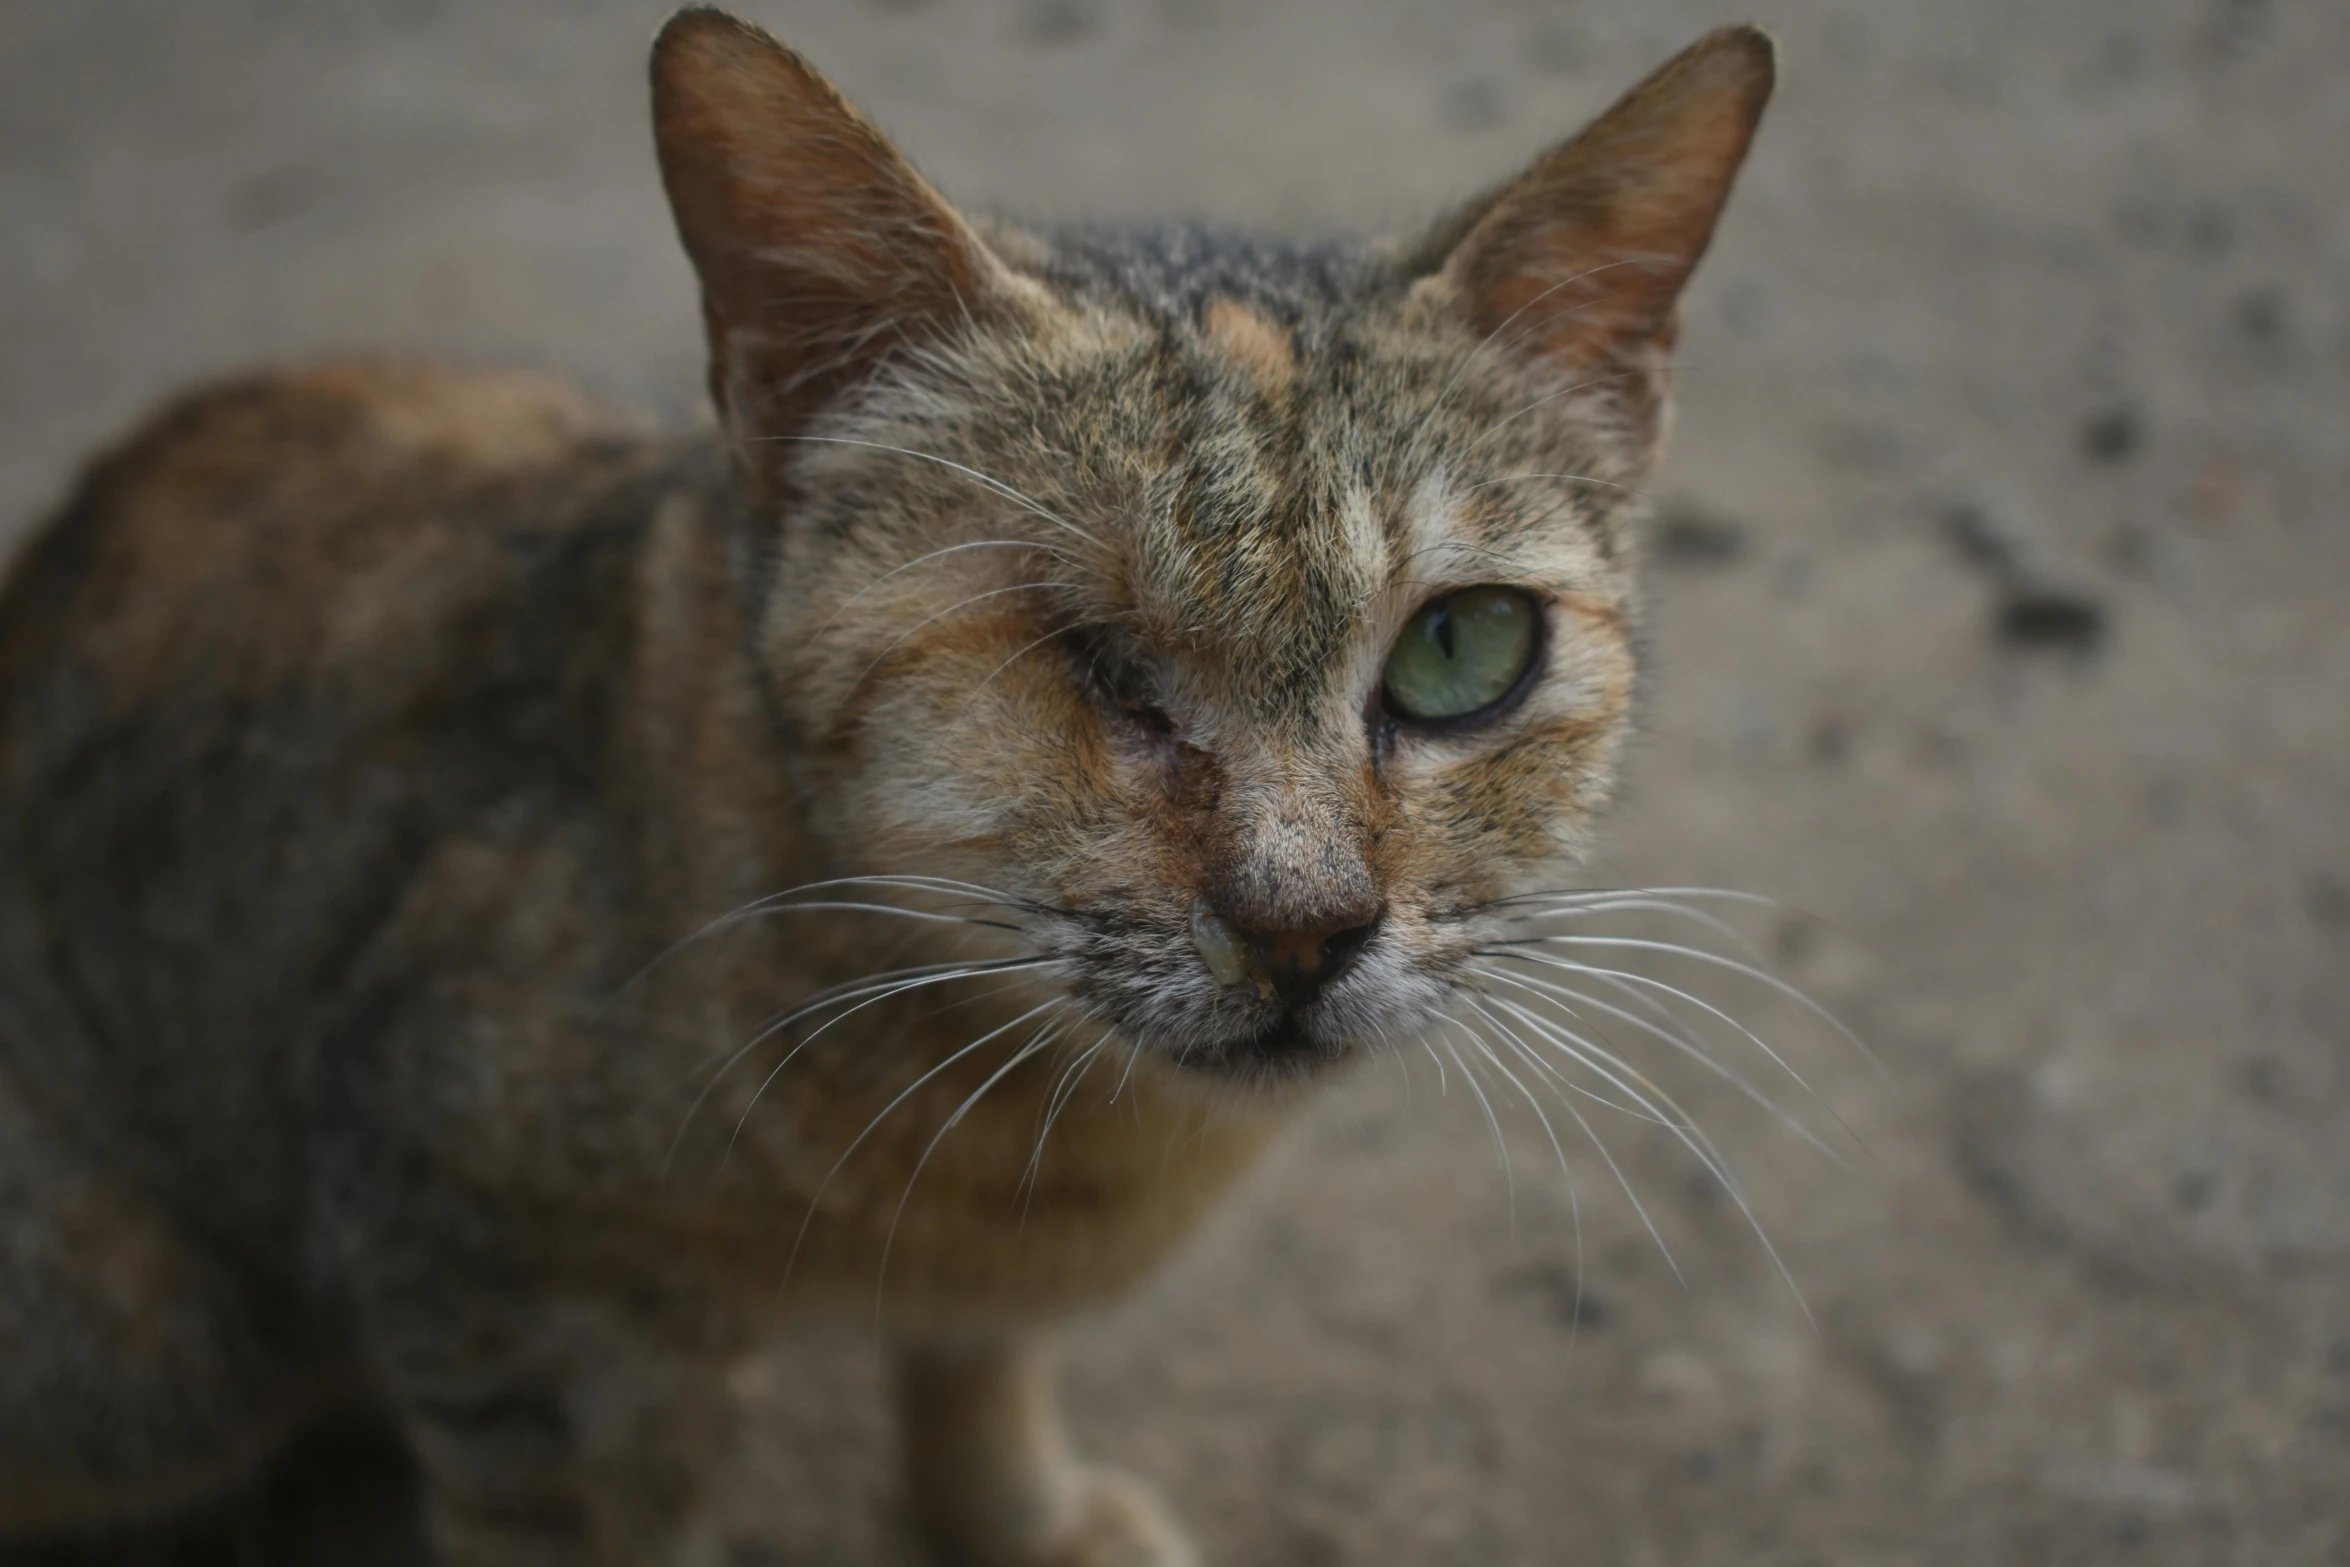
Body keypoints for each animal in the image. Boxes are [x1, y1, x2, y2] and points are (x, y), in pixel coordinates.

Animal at [0, 15, 1767, 1567]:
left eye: (1463, 648)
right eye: (1087, 653)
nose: (1306, 923)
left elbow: (978, 1365)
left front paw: (1018, 1510)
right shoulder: (508, 1301)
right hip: (148, 1347)